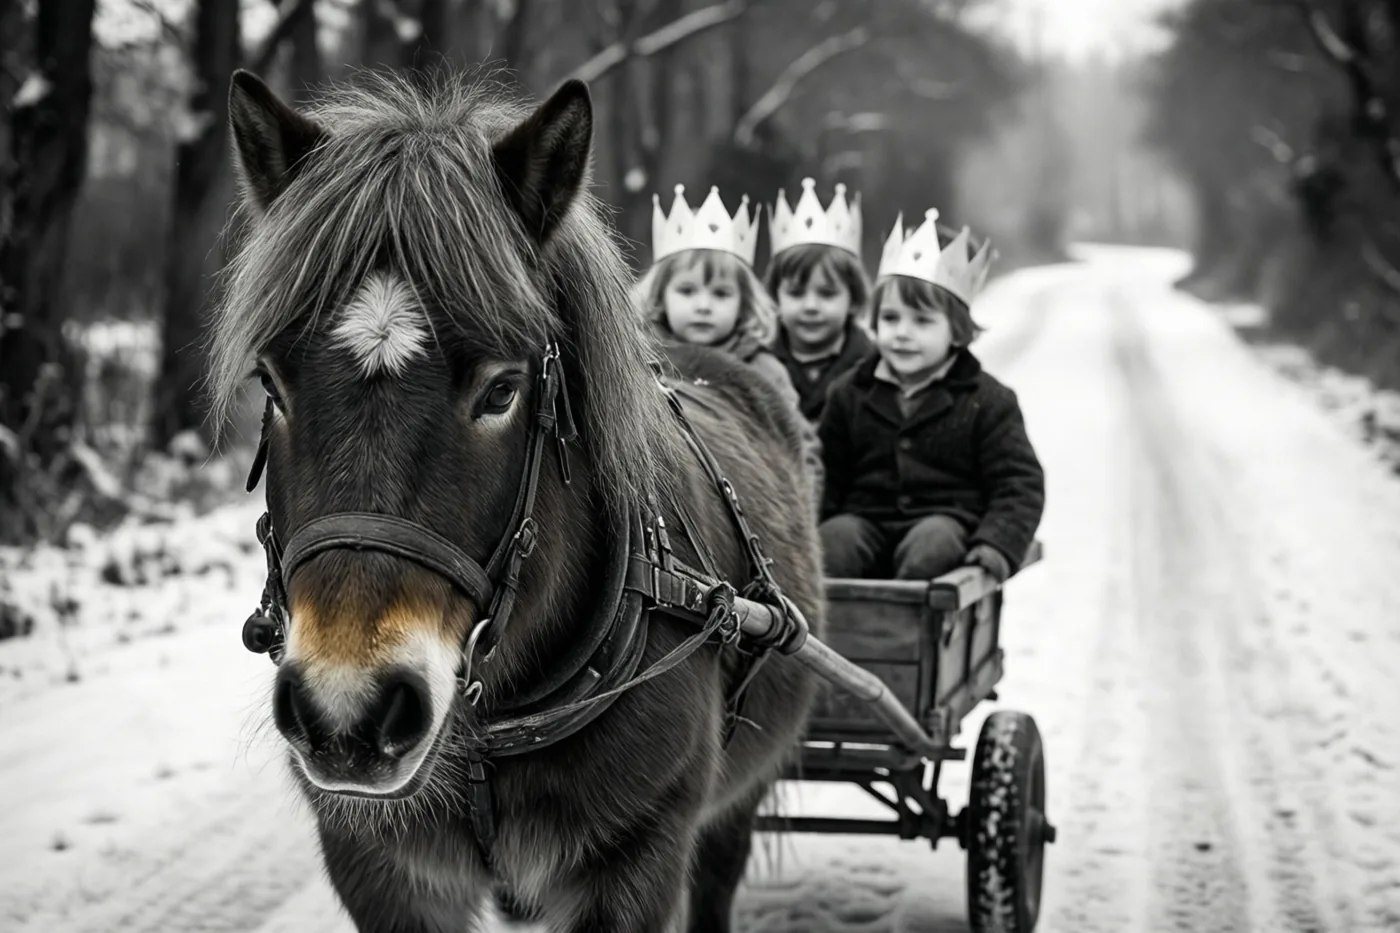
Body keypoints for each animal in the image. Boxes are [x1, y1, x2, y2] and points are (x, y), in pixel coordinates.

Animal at [212, 68, 825, 932]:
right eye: (271, 383)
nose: (347, 710)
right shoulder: (380, 867)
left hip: (735, 804)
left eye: (502, 390)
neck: (485, 734)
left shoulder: (636, 863)